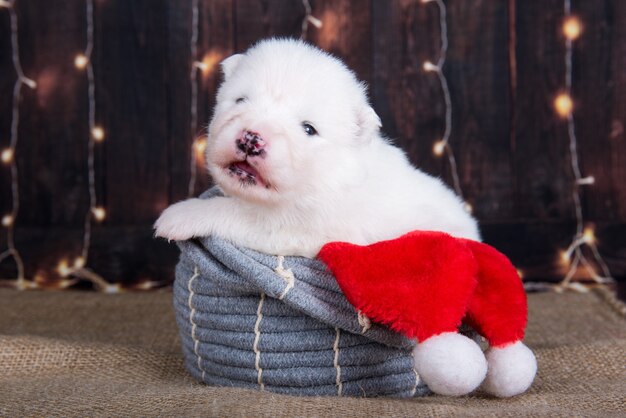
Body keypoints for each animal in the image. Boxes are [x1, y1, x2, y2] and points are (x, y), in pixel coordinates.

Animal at [157, 37, 492, 396]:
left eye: (308, 129)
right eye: (241, 99)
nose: (251, 138)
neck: (321, 176)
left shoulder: (297, 227)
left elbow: (236, 211)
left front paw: (179, 214)